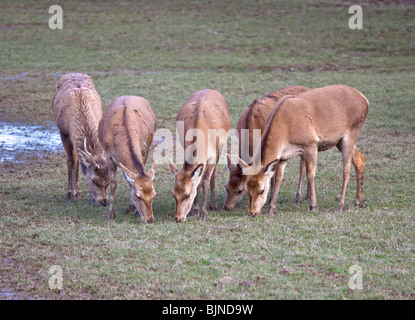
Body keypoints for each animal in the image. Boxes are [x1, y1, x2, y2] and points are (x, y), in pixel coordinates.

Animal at [52, 73, 109, 205]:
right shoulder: (64, 133)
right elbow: (71, 161)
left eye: (109, 181)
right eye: (93, 180)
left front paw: (90, 198)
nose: (104, 201)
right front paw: (70, 194)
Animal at [170, 89, 234, 221]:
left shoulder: (213, 155)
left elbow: (205, 180)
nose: (178, 218)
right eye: (173, 194)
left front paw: (203, 214)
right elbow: (198, 180)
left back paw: (213, 205)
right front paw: (195, 210)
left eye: (187, 195)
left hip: (220, 148)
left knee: (213, 174)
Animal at [237, 84, 370, 218]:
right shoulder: (283, 156)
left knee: (346, 170)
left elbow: (310, 174)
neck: (285, 130)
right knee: (360, 158)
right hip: (339, 141)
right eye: (245, 189)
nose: (253, 213)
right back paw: (360, 202)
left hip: (352, 133)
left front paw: (313, 206)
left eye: (262, 190)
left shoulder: (311, 144)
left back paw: (341, 206)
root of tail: (364, 99)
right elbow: (278, 177)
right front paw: (271, 209)